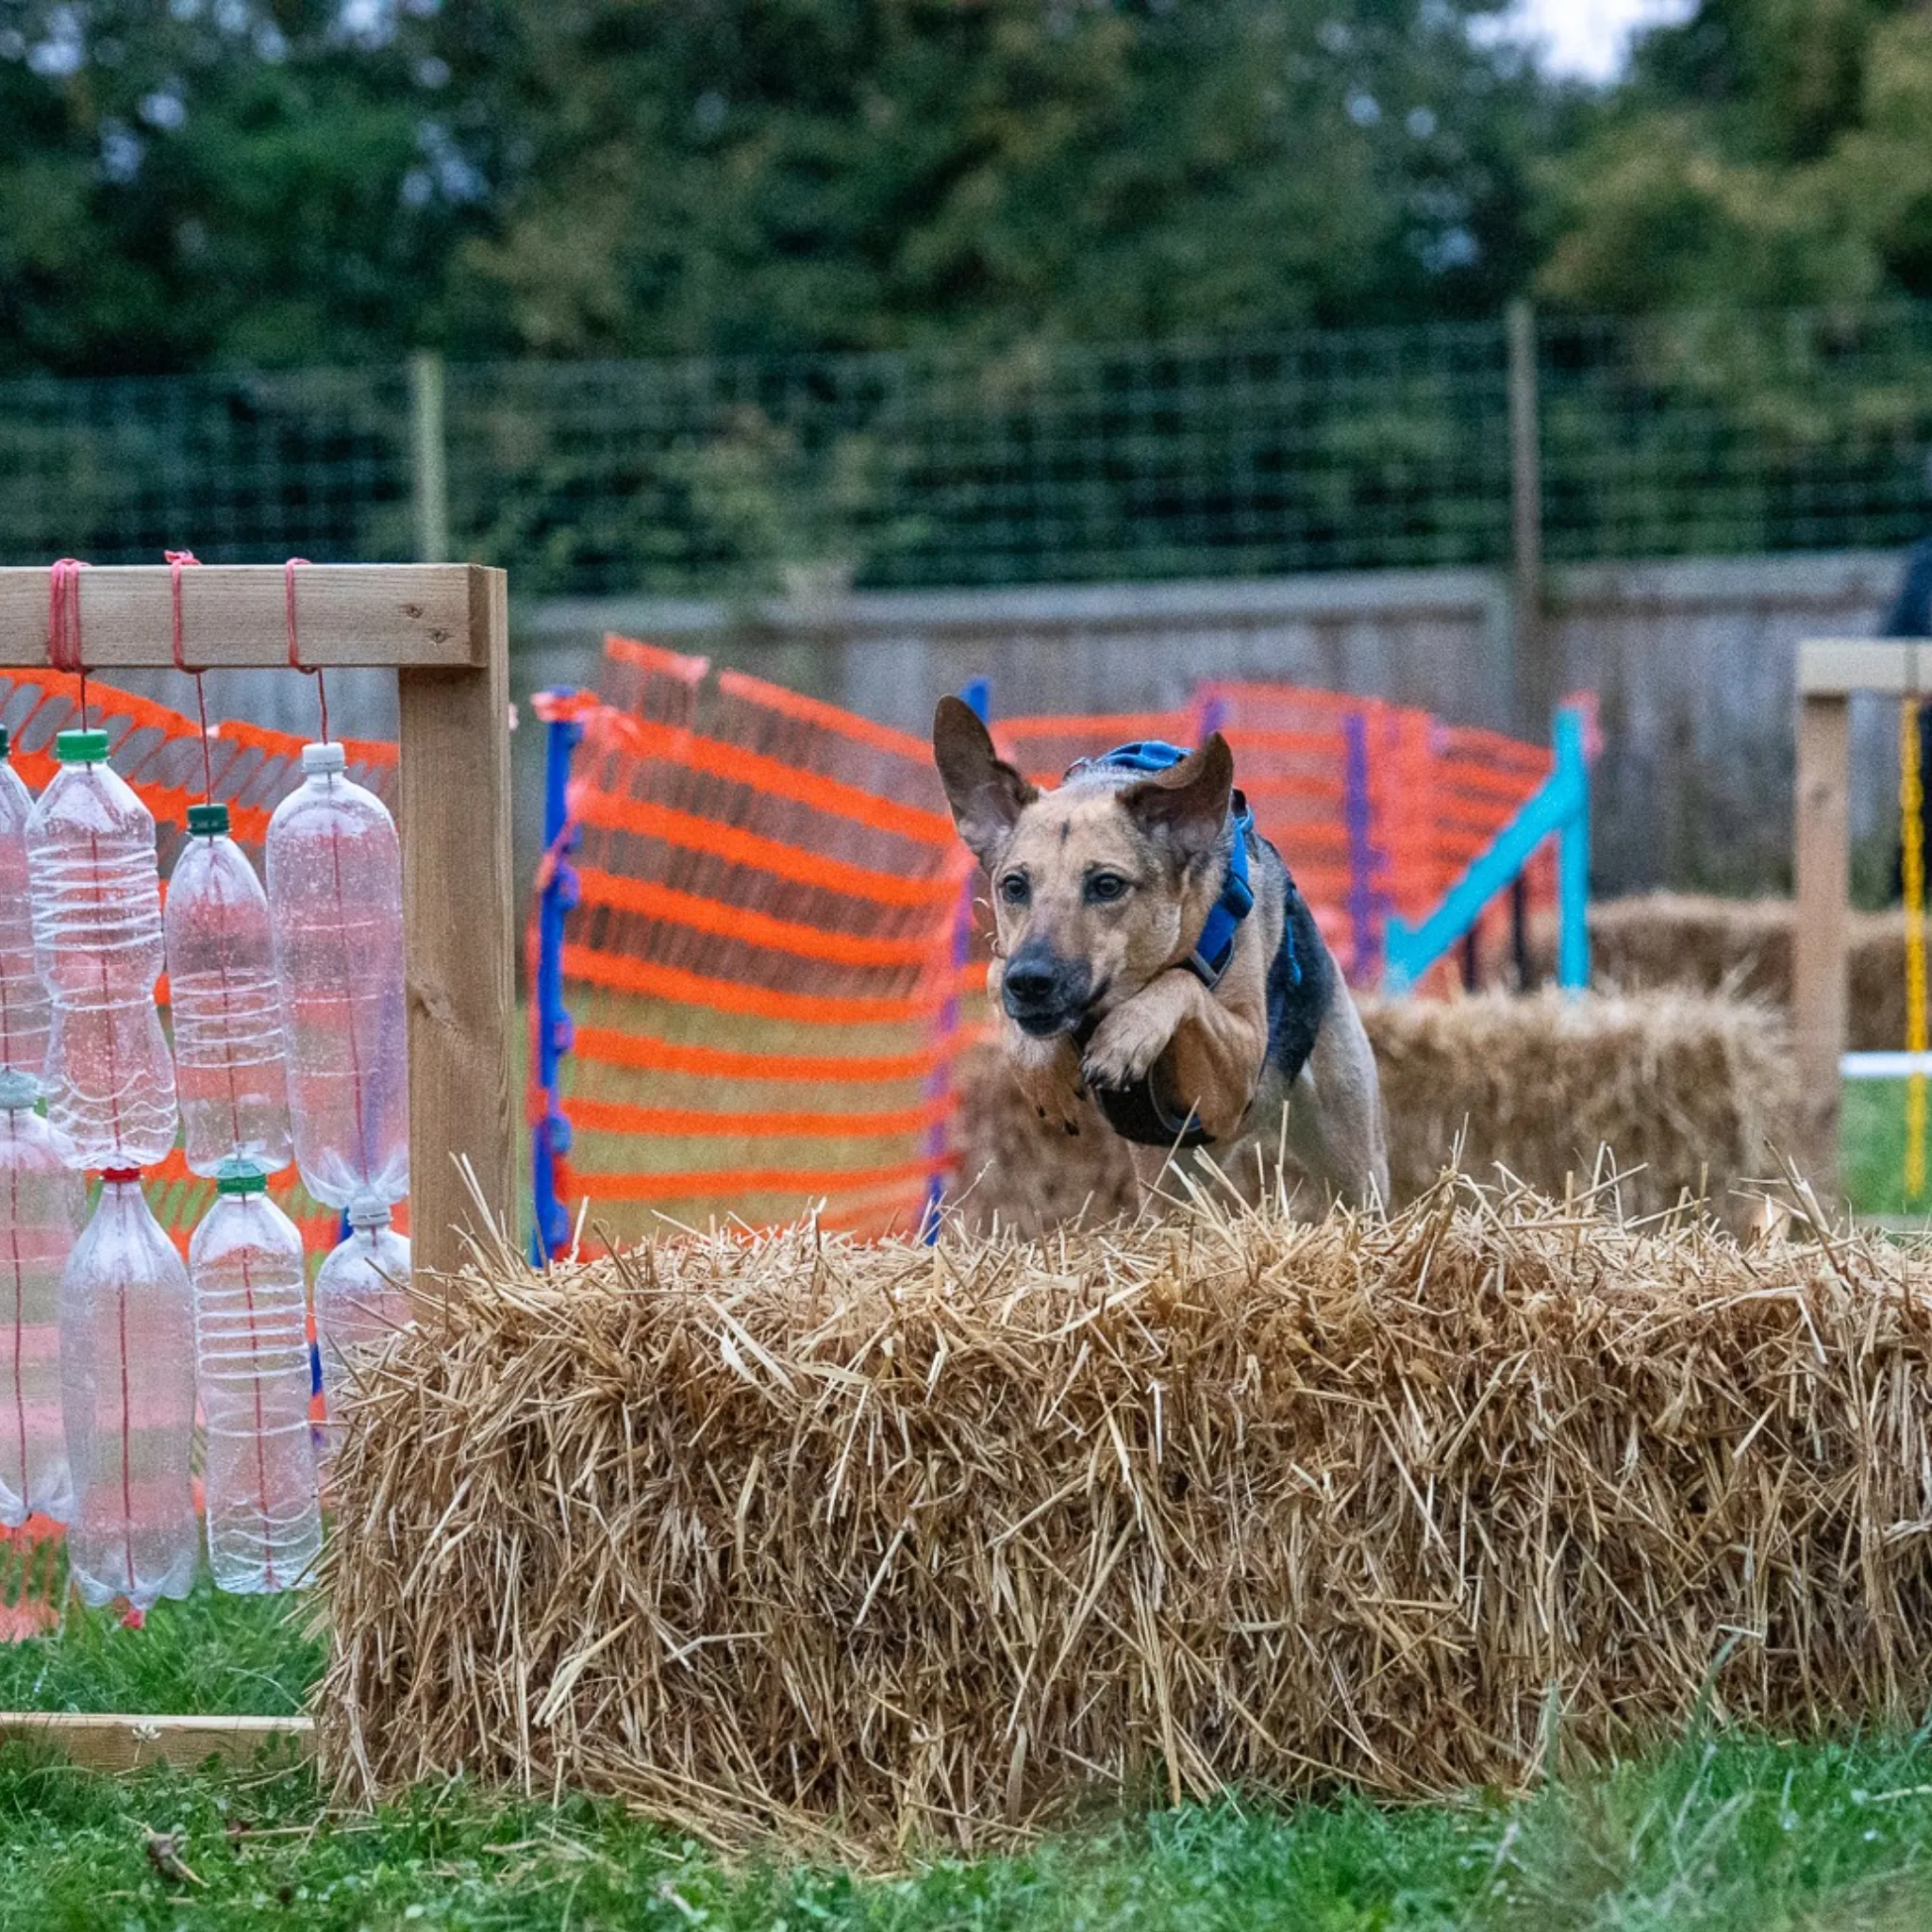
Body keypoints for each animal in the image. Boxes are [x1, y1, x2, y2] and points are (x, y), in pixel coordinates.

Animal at [939, 695, 1383, 1205]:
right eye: (1013, 886)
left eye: (1107, 885)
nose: (1030, 982)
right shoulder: (1006, 957)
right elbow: (994, 974)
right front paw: (1040, 1067)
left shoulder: (1238, 1076)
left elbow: (1183, 982)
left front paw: (1126, 1035)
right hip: (1169, 1173)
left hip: (1352, 1157)